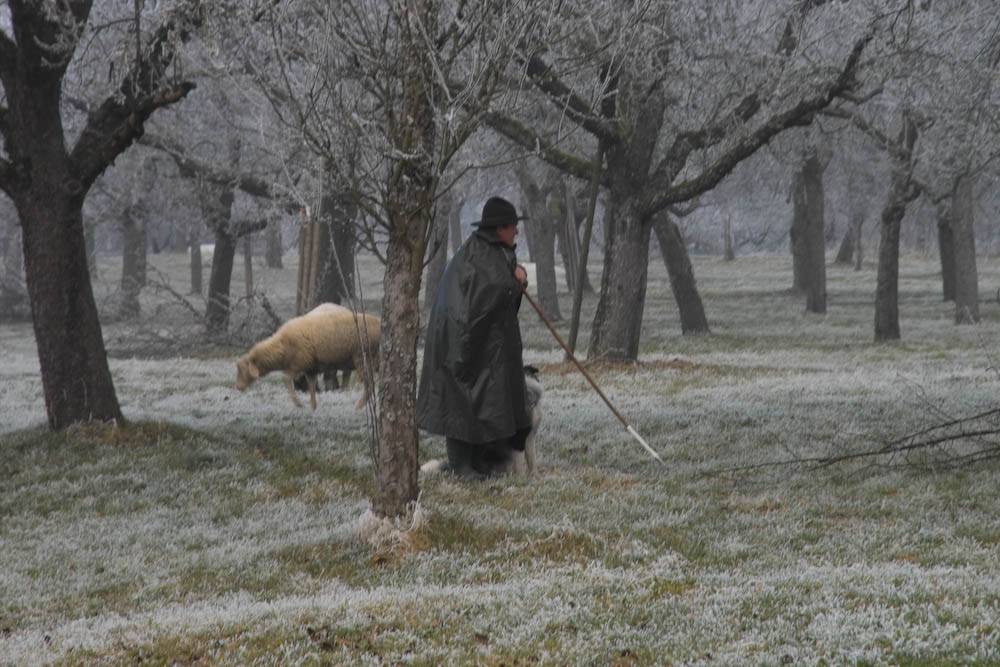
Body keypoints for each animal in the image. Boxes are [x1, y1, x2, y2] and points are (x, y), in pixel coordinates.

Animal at [236, 310, 380, 412]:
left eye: (243, 369)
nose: (238, 387)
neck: (281, 347)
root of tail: (378, 322)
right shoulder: (310, 368)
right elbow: (311, 388)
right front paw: (313, 408)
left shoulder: (298, 364)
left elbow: (286, 379)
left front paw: (298, 404)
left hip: (362, 357)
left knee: (369, 385)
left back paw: (358, 408)